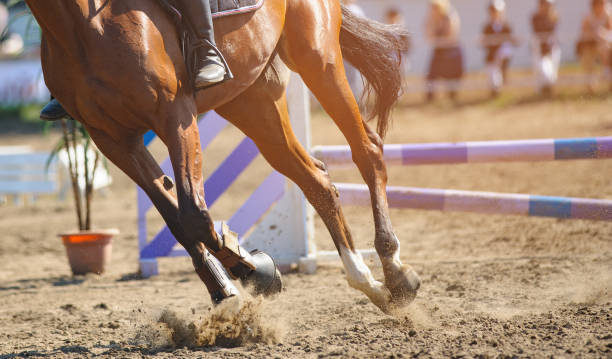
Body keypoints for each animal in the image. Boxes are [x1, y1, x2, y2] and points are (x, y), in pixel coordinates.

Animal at [27, 0, 420, 314]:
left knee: (367, 150)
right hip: (252, 98)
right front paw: (229, 285)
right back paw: (368, 282)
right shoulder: (113, 140)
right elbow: (176, 218)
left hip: (317, 58)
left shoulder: (175, 115)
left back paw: (394, 270)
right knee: (316, 180)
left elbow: (194, 215)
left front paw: (255, 269)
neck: (80, 25)